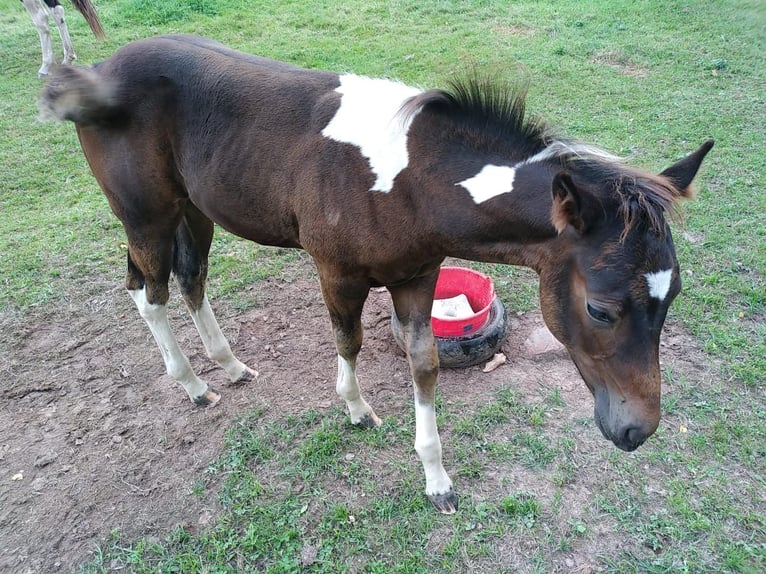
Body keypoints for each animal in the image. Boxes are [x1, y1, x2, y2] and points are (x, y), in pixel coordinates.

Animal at [39, 35, 713, 513]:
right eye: (600, 308)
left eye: (672, 296)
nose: (636, 430)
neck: (406, 182)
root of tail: (99, 72)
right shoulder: (335, 271)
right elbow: (349, 340)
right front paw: (357, 410)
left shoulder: (418, 276)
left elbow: (424, 364)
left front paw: (437, 479)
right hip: (146, 214)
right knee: (148, 293)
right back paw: (193, 384)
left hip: (194, 208)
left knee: (189, 279)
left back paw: (230, 366)